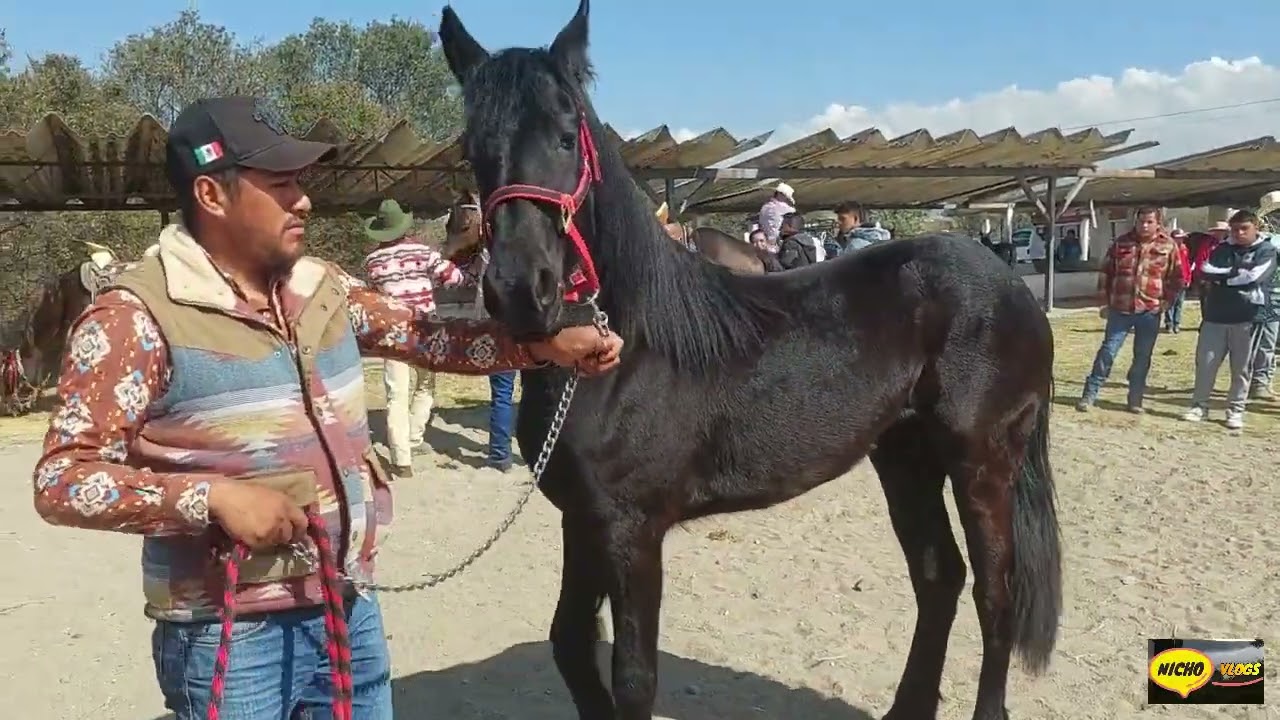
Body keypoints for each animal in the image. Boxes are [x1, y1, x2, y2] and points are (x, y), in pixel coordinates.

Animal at [439, 4, 1061, 718]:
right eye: (471, 147)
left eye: (568, 137)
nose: (520, 289)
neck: (625, 351)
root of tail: (1007, 281)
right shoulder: (583, 518)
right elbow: (569, 642)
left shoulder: (631, 531)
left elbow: (633, 678)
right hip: (905, 456)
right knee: (938, 577)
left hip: (983, 462)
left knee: (995, 595)